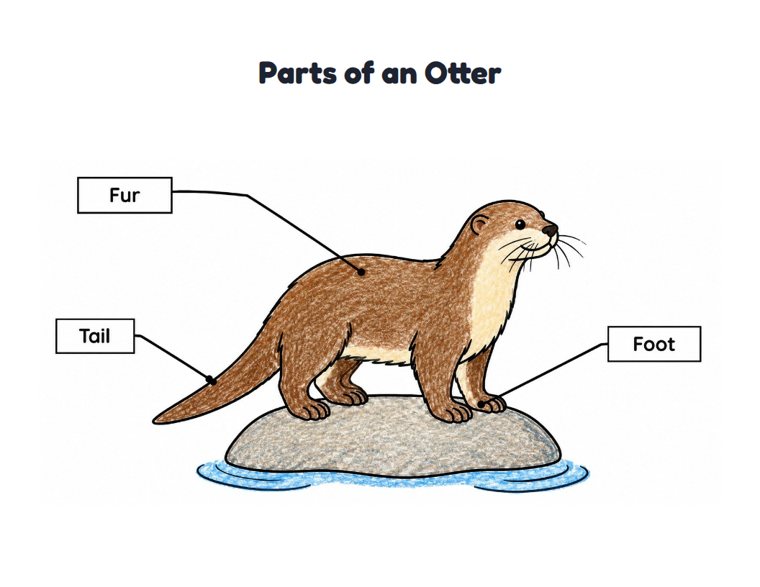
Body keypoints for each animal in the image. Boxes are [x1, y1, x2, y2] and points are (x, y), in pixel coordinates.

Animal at [153, 200, 560, 425]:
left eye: (542, 214)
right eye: (520, 223)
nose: (552, 228)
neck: (481, 301)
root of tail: (288, 298)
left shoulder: (482, 344)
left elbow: (473, 378)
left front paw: (487, 402)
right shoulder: (440, 335)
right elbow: (434, 376)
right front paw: (449, 411)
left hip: (349, 346)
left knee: (328, 377)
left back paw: (348, 395)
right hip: (320, 334)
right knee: (292, 378)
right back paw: (308, 409)